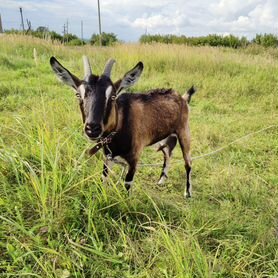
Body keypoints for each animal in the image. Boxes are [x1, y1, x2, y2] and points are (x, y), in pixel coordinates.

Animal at [49, 56, 195, 198]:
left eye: (113, 96)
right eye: (78, 95)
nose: (92, 128)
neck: (121, 124)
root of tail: (183, 98)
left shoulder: (134, 158)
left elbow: (127, 185)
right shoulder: (108, 157)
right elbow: (103, 179)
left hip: (184, 132)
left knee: (188, 162)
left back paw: (188, 192)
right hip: (164, 137)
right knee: (167, 153)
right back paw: (161, 181)